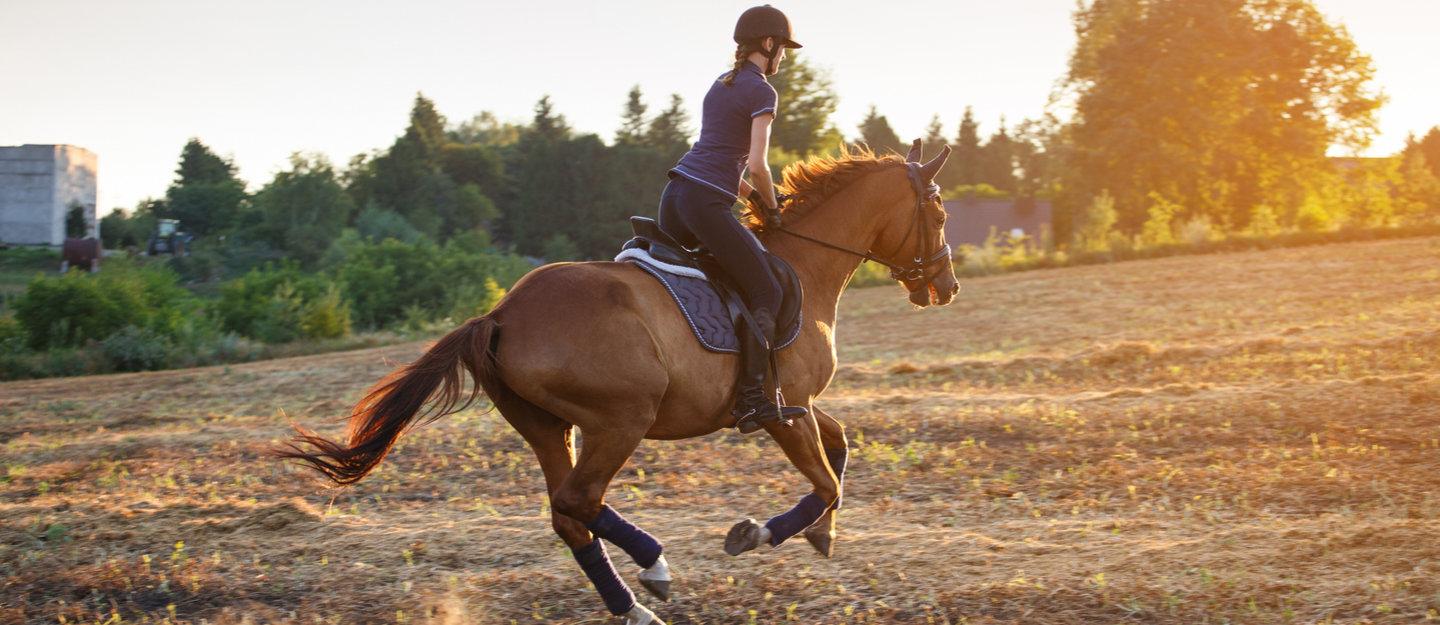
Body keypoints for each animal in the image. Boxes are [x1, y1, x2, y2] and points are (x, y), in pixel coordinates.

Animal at [279, 141, 959, 623]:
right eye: (939, 210)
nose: (946, 286)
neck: (804, 266)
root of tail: (499, 315)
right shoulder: (781, 409)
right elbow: (826, 482)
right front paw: (758, 533)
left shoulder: (799, 407)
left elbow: (839, 451)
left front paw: (820, 534)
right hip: (621, 419)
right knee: (579, 500)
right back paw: (653, 566)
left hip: (550, 428)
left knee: (568, 513)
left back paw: (631, 606)